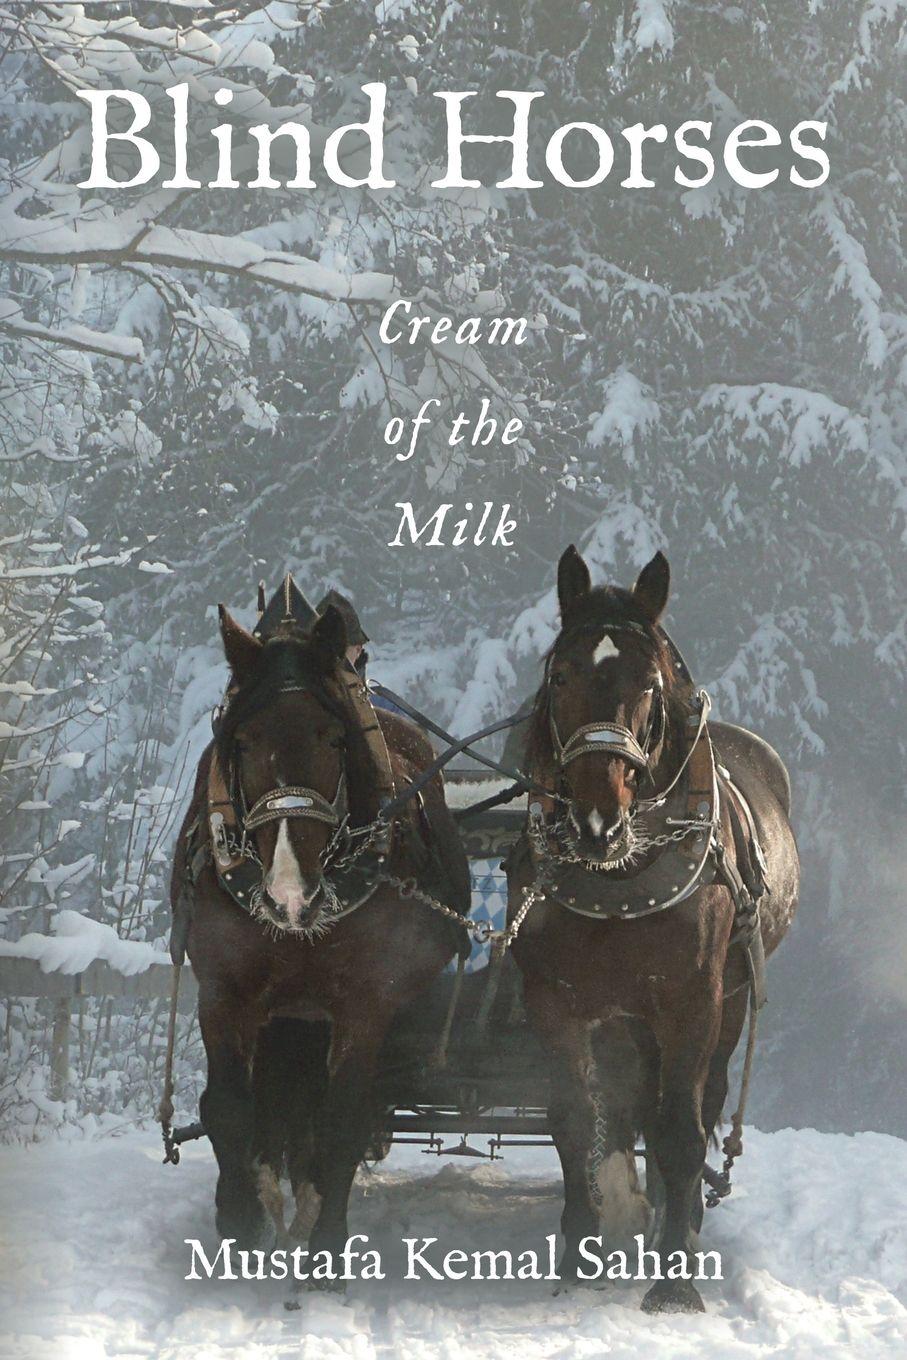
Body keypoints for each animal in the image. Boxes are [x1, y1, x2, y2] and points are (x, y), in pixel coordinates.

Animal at [170, 598, 470, 1264]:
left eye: (333, 738)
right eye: (244, 741)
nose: (289, 892)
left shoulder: (364, 1002)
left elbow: (343, 1120)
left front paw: (326, 1251)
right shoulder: (223, 990)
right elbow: (228, 1108)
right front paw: (240, 1221)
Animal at [506, 546, 799, 1313]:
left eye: (648, 683)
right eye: (560, 675)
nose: (595, 820)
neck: (619, 874)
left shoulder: (692, 998)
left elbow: (679, 1129)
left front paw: (675, 1281)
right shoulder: (555, 1001)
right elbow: (574, 1122)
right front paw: (578, 1259)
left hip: (727, 1000)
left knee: (701, 1102)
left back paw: (683, 1218)